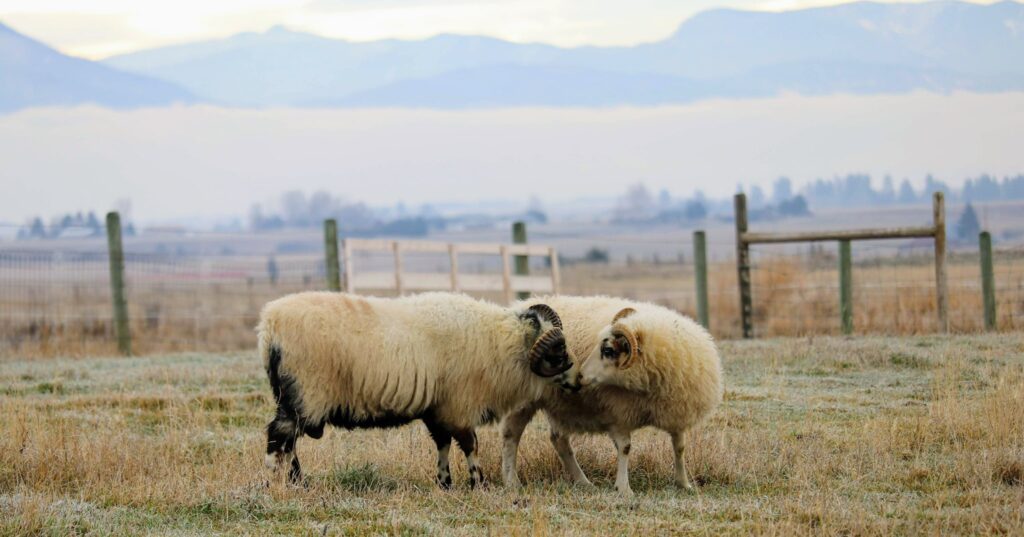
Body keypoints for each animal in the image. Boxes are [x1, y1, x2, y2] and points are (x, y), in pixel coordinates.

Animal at [256, 291, 577, 487]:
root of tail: (269, 326)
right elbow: (470, 444)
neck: (499, 342)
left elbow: (442, 443)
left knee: (289, 442)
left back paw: (297, 482)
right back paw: (275, 483)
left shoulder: (439, 408)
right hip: (304, 394)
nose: (576, 379)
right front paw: (478, 482)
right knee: (279, 436)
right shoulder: (459, 406)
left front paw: (445, 483)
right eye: (558, 352)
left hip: (294, 398)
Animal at [499, 297, 724, 496]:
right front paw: (624, 488)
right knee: (511, 436)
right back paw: (511, 481)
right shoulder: (619, 413)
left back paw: (583, 482)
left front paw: (683, 483)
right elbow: (625, 448)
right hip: (522, 400)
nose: (579, 376)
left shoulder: (676, 413)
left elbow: (680, 448)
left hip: (561, 405)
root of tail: (520, 305)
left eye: (607, 350)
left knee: (559, 440)